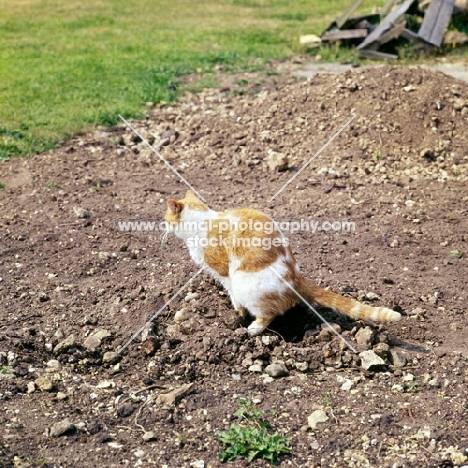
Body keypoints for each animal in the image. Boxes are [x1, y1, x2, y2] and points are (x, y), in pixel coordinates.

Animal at [163, 190, 400, 336]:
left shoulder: (224, 273)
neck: (202, 222)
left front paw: (238, 314)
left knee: (267, 315)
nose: (162, 226)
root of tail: (296, 278)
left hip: (248, 287)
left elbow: (233, 296)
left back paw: (253, 329)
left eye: (166, 219)